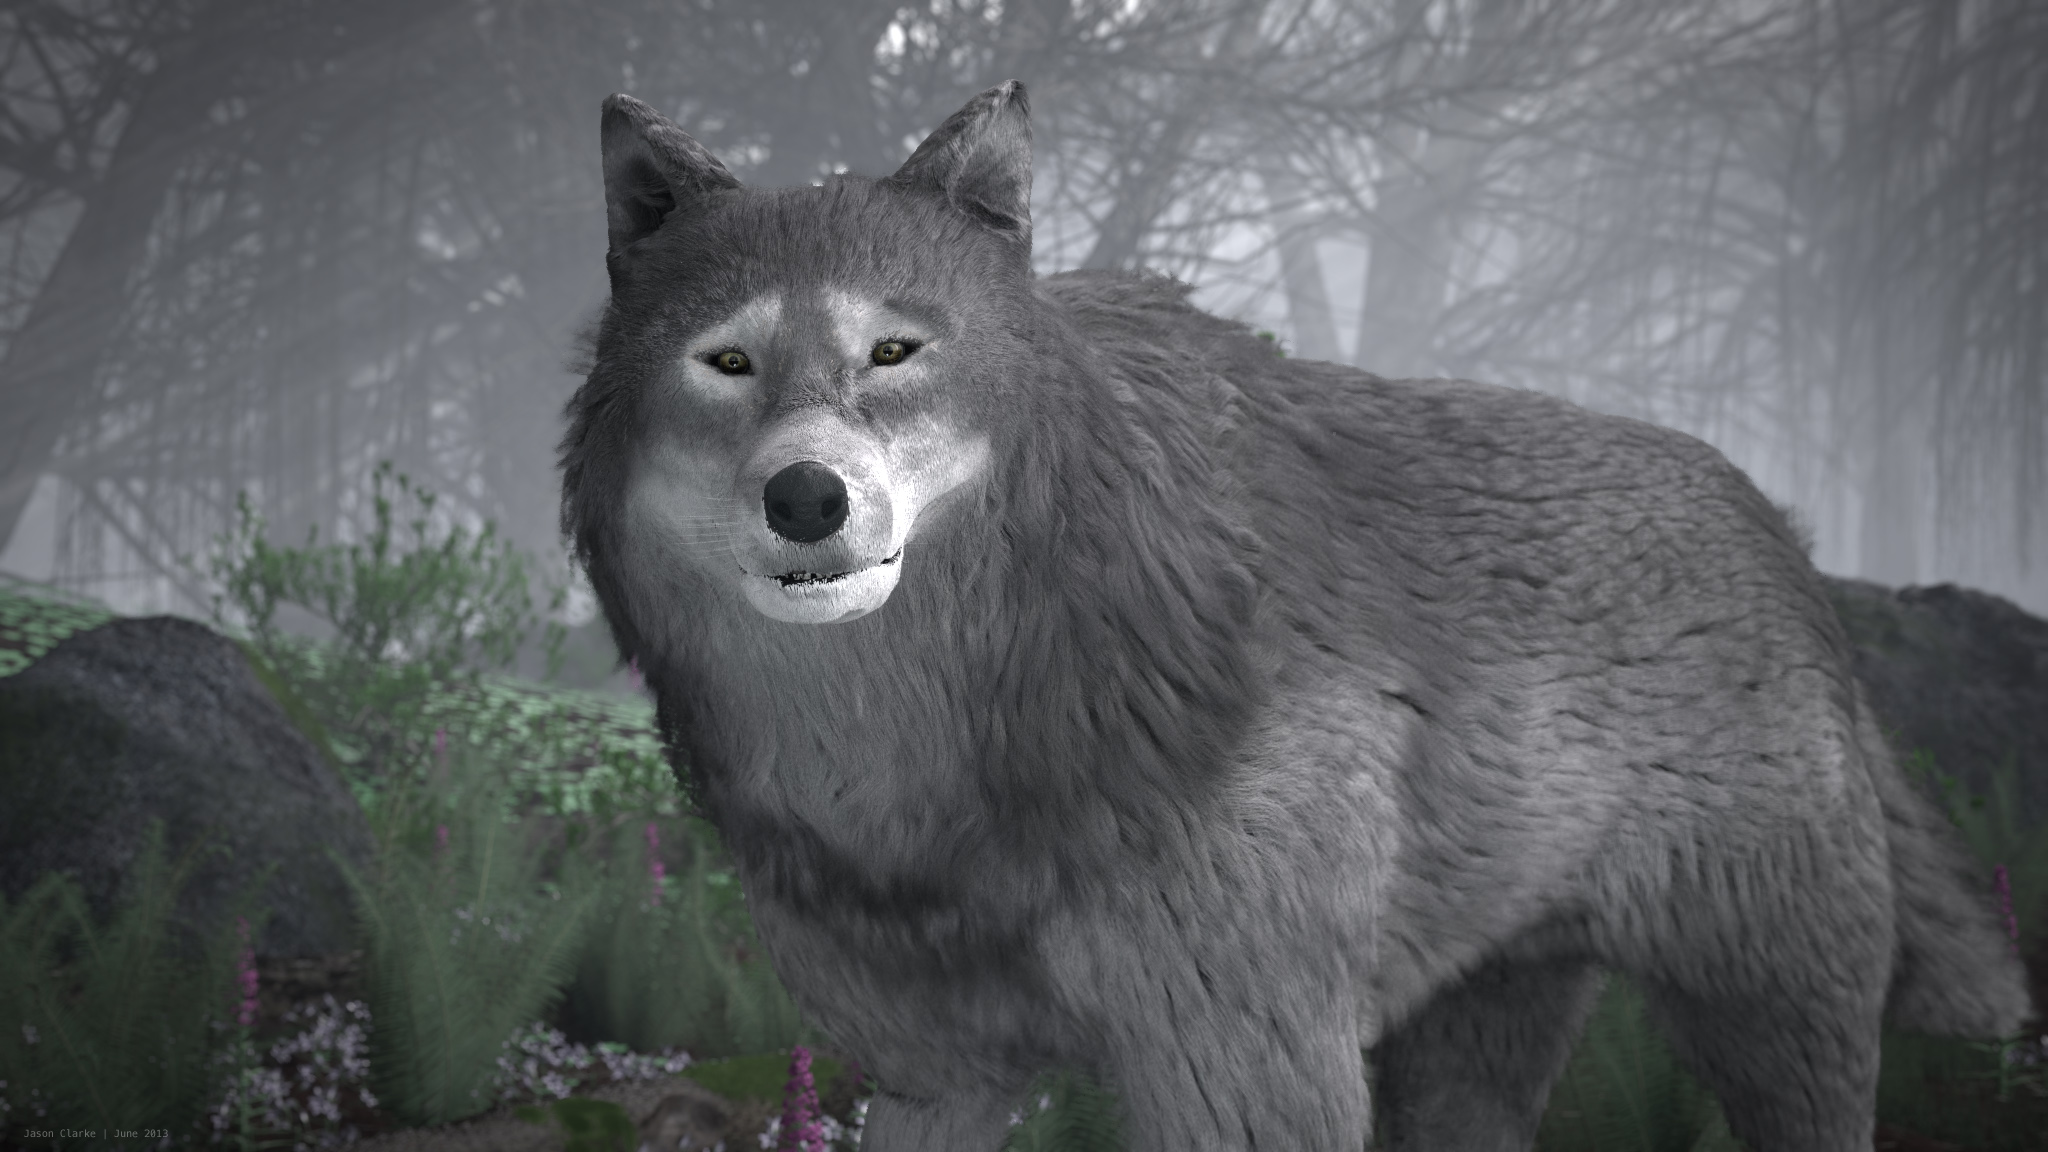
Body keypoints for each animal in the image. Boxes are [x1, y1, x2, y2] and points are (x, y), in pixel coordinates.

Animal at [559, 81, 2033, 1151]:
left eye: (894, 353)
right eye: (728, 362)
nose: (809, 497)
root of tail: (1775, 529)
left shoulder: (1245, 1066)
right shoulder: (935, 1076)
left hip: (1774, 1014)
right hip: (1479, 1033)